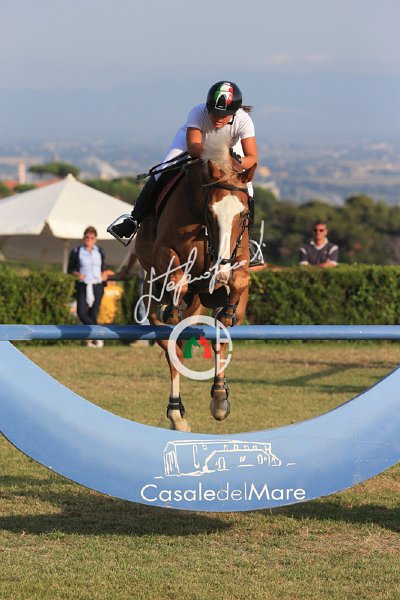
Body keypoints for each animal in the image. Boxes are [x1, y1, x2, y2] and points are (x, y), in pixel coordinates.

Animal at [136, 132, 256, 431]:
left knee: (214, 340)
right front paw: (171, 306)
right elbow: (176, 277)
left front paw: (226, 311)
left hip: (202, 304)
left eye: (244, 215)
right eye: (210, 213)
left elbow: (238, 286)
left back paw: (219, 398)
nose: (220, 273)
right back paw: (176, 414)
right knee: (172, 350)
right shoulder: (165, 252)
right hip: (153, 300)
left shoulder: (239, 259)